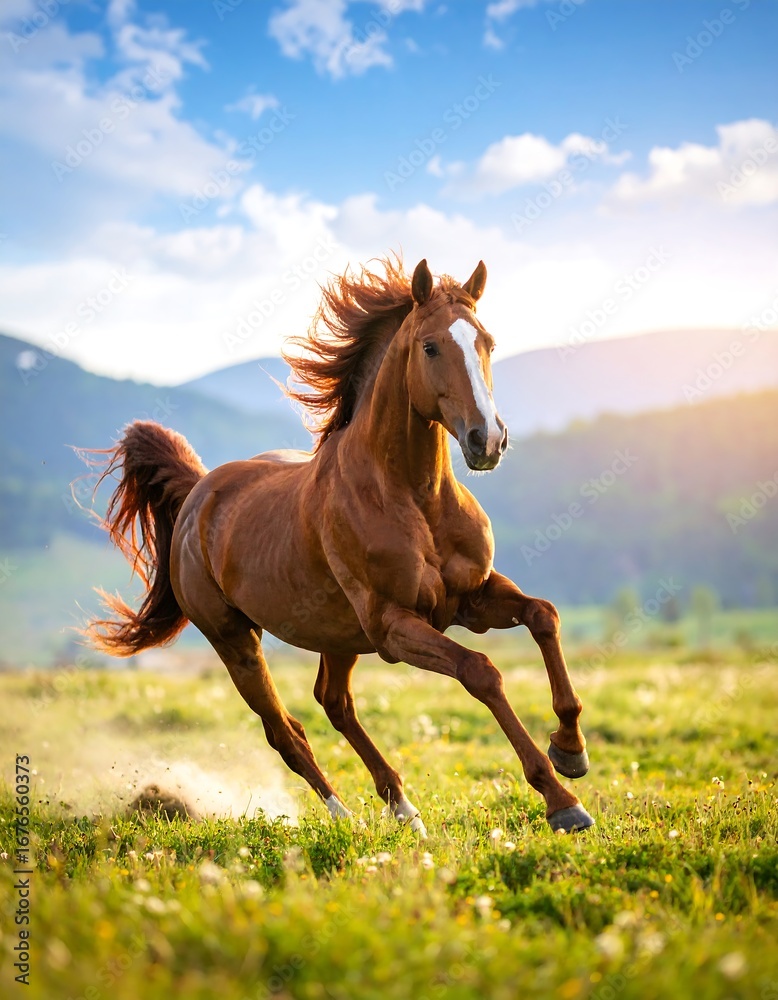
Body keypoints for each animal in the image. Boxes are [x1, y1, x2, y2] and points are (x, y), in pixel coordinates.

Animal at [80, 256, 594, 836]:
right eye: (430, 347)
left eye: (487, 341)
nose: (488, 440)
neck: (412, 497)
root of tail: (197, 494)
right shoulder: (394, 626)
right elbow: (481, 672)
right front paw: (562, 801)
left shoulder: (473, 598)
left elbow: (543, 615)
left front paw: (570, 752)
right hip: (236, 640)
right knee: (285, 731)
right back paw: (345, 816)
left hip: (339, 634)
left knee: (334, 703)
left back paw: (403, 809)